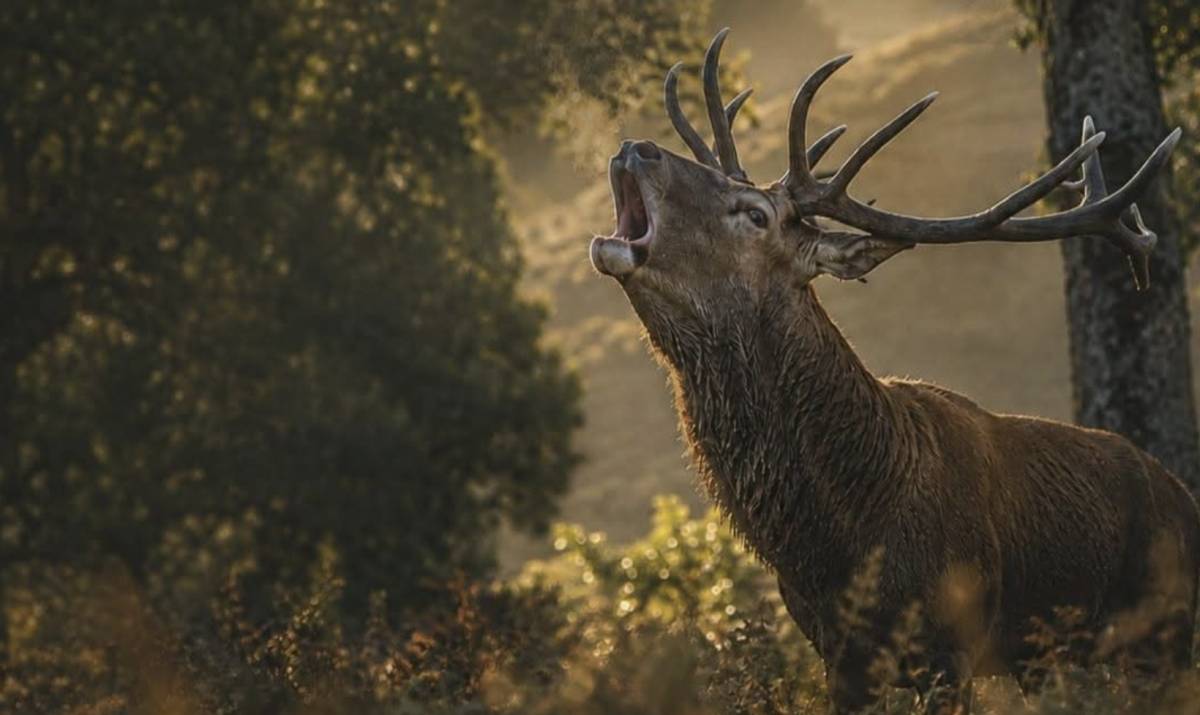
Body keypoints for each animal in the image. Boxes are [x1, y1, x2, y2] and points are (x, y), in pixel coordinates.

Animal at [589, 29, 1200, 714]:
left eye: (755, 214)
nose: (637, 149)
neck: (846, 539)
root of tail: (1186, 500)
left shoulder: (951, 647)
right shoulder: (837, 658)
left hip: (1164, 634)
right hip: (1048, 656)